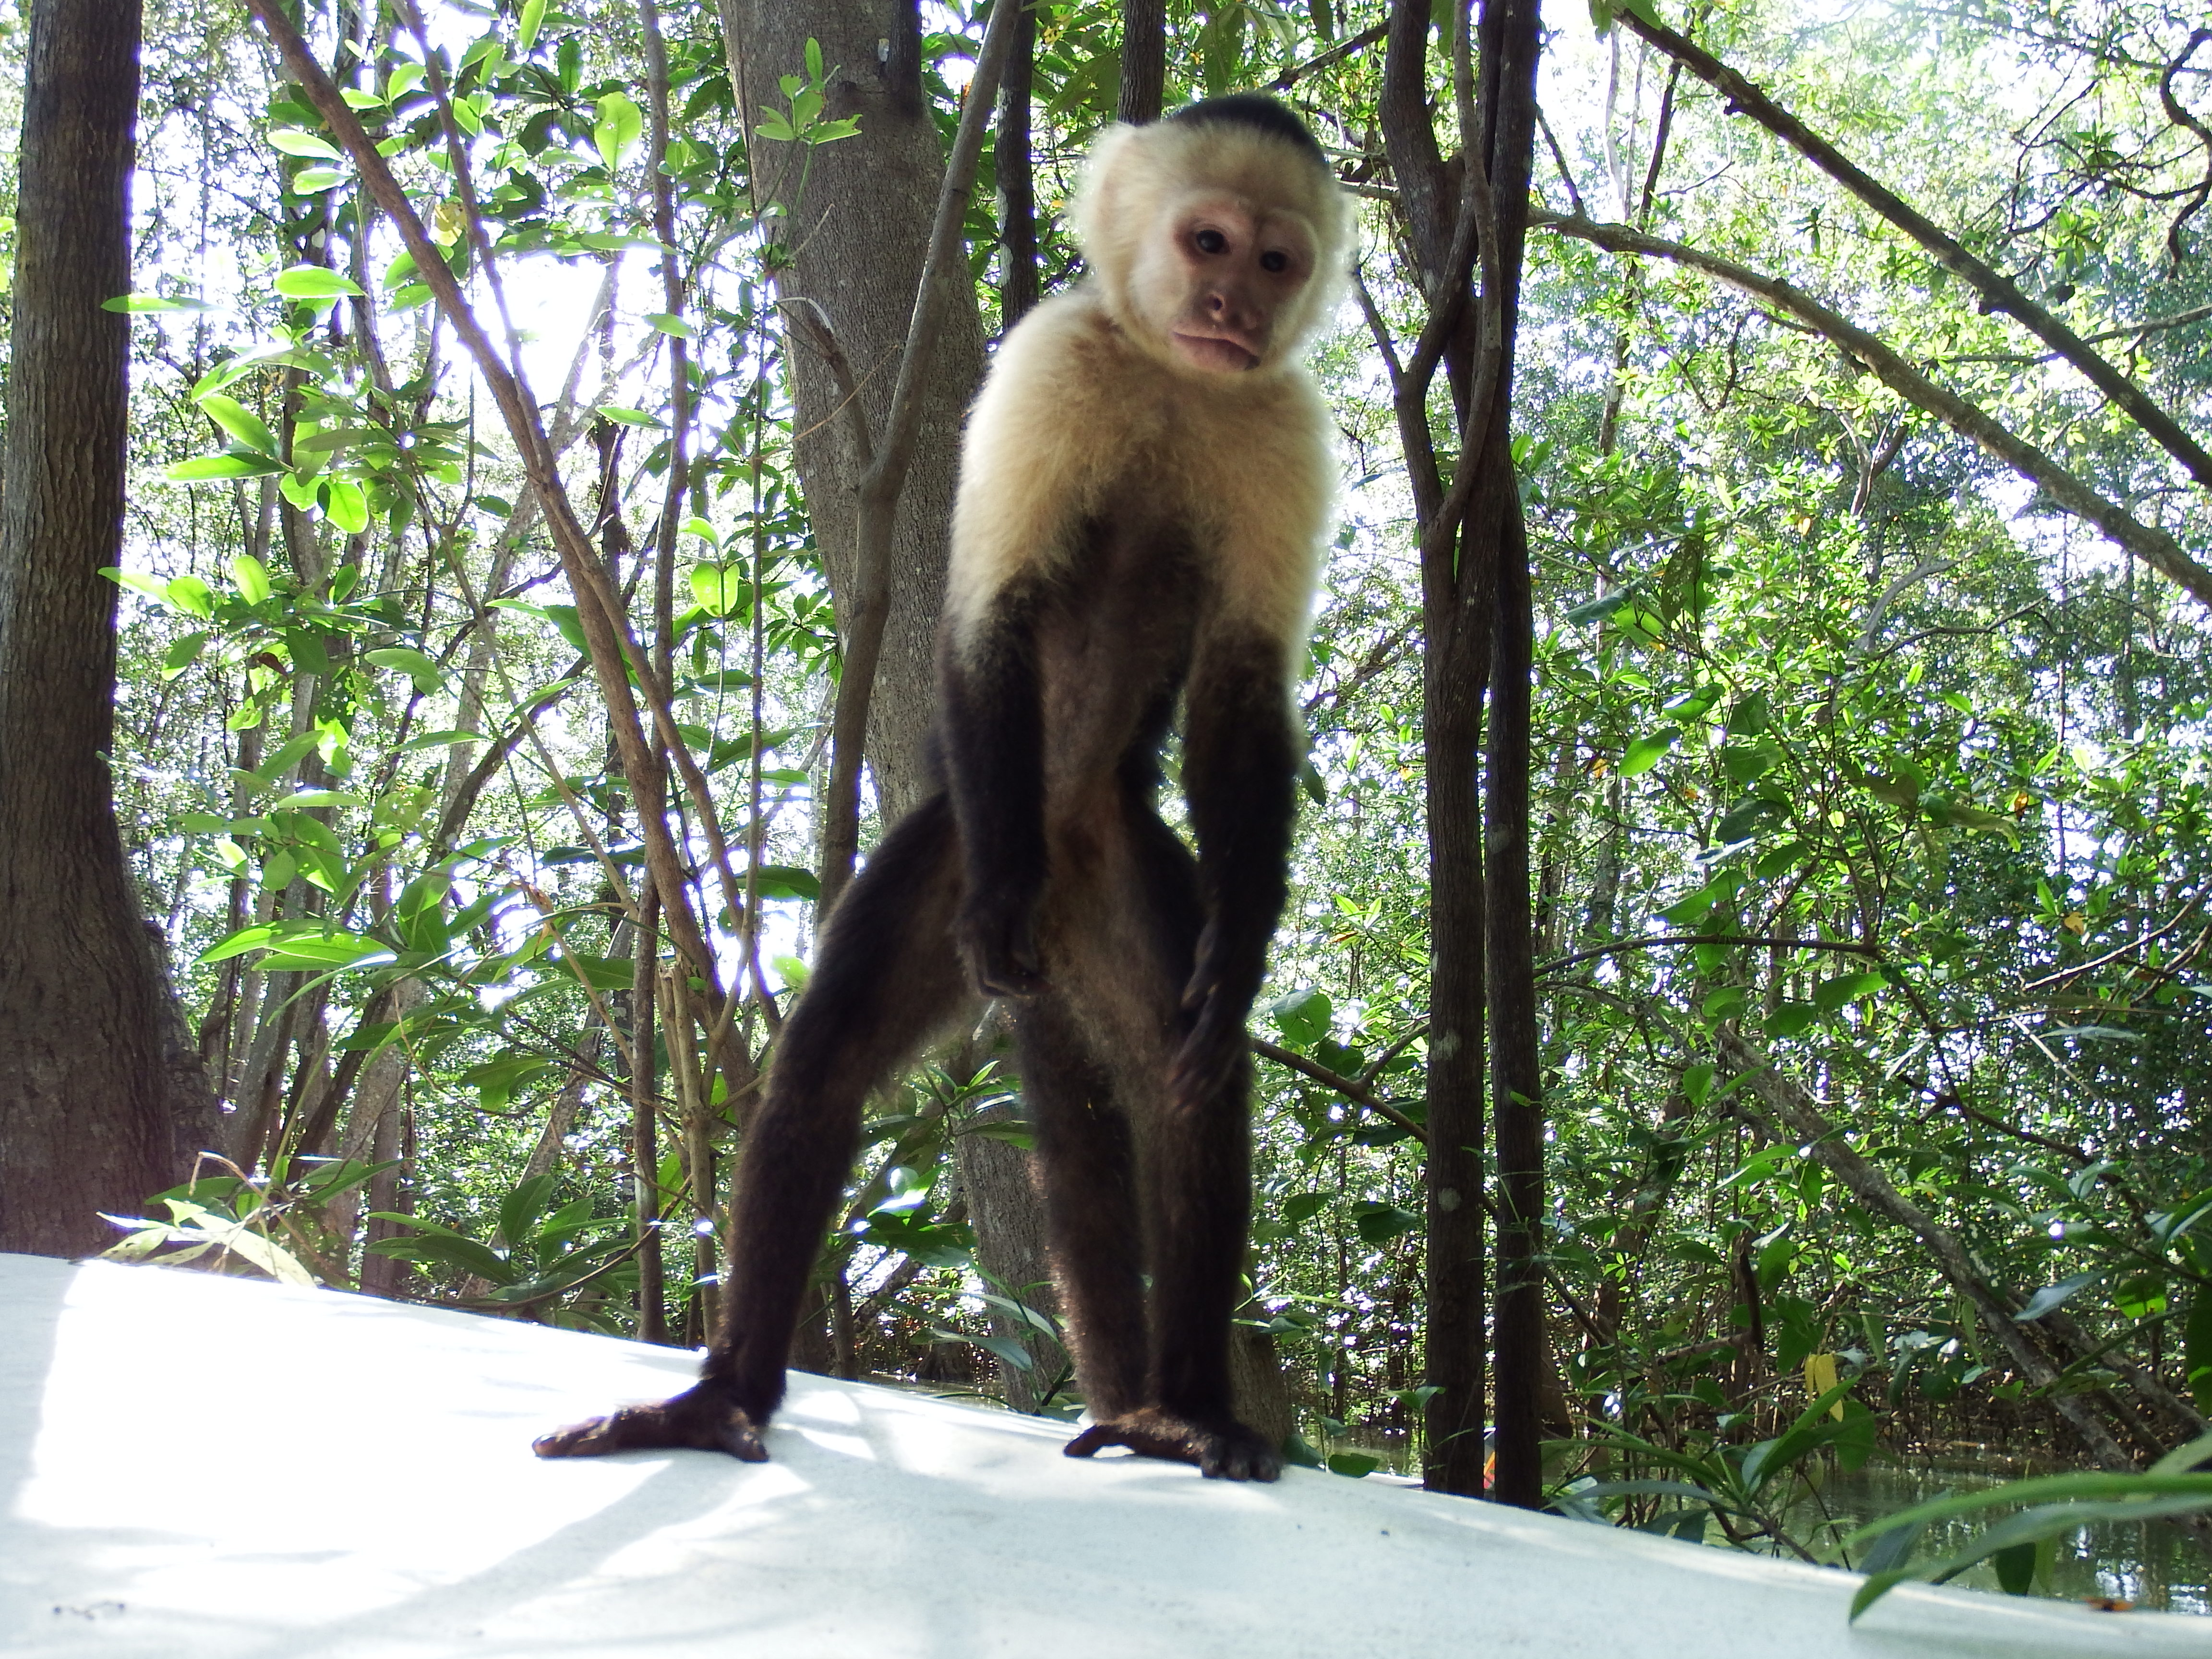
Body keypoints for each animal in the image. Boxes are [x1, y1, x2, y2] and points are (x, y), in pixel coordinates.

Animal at [535, 93, 1350, 1483]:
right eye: (1209, 240)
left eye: (1276, 261)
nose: (1232, 305)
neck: (1173, 376)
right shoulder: (1055, 355)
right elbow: (989, 616)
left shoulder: (1280, 422)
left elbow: (1242, 702)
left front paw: (1239, 958)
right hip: (962, 839)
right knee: (823, 1064)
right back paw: (722, 1391)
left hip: (1124, 870)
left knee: (1187, 1084)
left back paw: (1181, 1403)